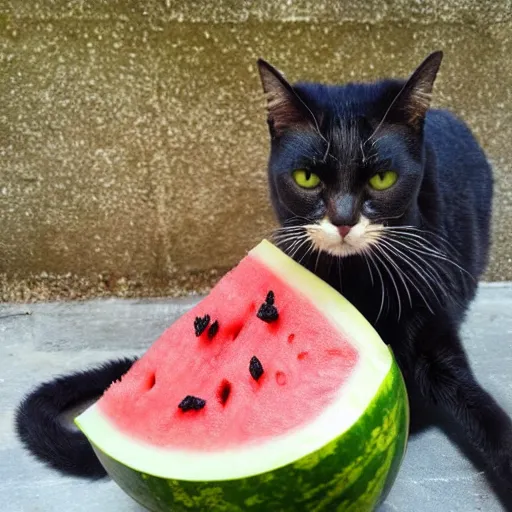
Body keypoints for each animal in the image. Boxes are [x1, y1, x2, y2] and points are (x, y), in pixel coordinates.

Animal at [15, 53, 512, 504]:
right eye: (306, 177)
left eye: (382, 178)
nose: (343, 220)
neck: (352, 281)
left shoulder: (433, 329)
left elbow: (479, 409)